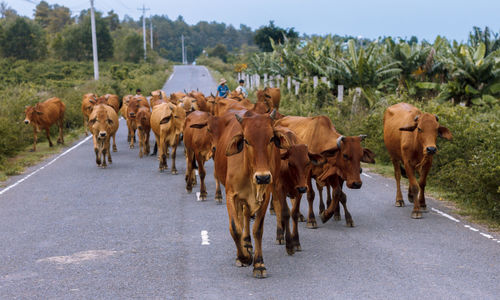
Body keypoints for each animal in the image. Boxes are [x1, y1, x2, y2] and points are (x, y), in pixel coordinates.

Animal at [213, 109, 292, 278]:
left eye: (271, 138)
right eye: (246, 140)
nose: (262, 177)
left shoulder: (265, 196)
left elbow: (258, 229)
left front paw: (259, 264)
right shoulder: (231, 195)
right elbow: (235, 228)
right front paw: (243, 257)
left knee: (250, 214)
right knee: (242, 218)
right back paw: (245, 246)